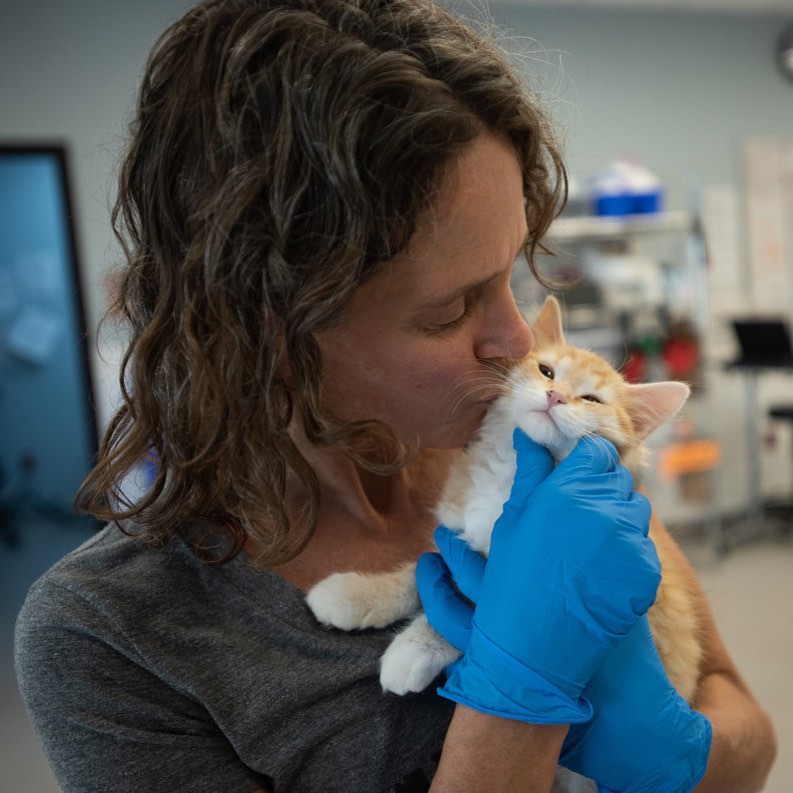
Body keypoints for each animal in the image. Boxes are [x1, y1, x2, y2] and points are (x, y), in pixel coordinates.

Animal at [306, 296, 704, 700]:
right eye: (546, 372)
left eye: (592, 399)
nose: (555, 396)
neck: (510, 477)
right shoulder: (456, 536)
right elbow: (419, 571)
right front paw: (355, 595)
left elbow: (477, 606)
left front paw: (414, 647)